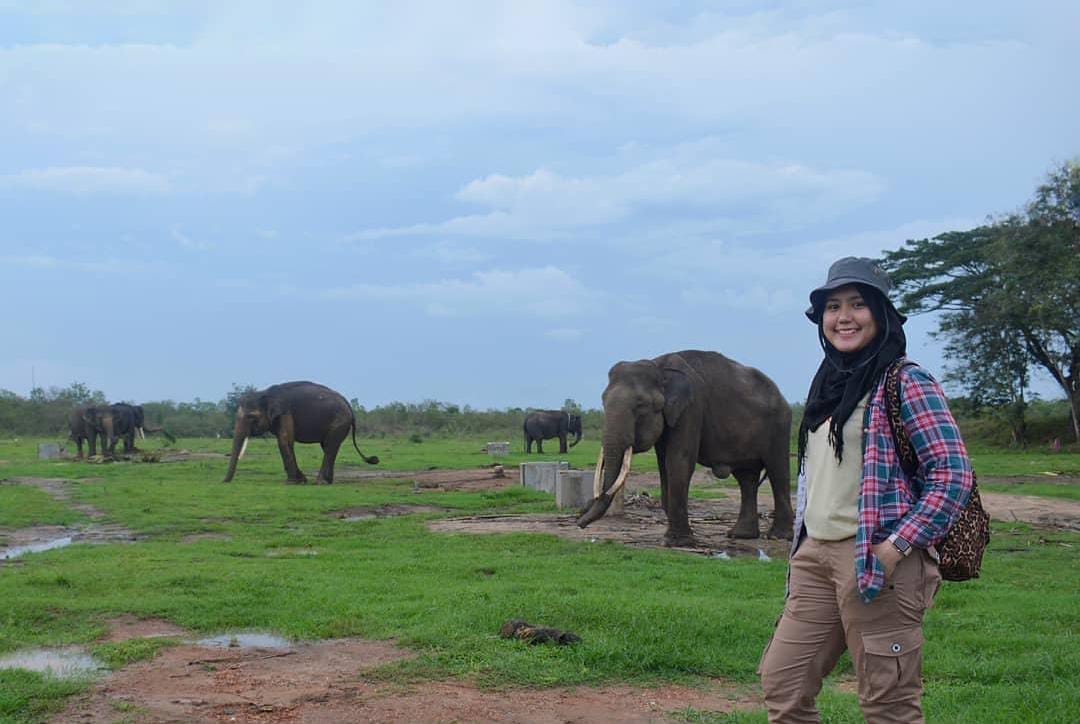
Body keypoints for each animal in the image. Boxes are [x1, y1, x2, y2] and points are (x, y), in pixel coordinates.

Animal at [219, 380, 380, 488]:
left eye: (251, 417)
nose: (223, 482)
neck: (266, 393)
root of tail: (349, 406)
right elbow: (285, 441)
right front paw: (301, 480)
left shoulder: (285, 413)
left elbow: (284, 440)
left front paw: (292, 482)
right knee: (329, 447)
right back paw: (327, 481)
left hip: (340, 421)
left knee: (329, 447)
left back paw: (320, 482)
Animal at [578, 350, 799, 544]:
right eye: (603, 401)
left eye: (640, 405)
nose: (580, 523)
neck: (659, 366)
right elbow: (664, 466)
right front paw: (677, 538)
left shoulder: (691, 408)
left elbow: (678, 460)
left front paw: (675, 542)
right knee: (747, 478)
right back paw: (740, 535)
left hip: (779, 426)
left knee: (777, 471)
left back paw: (778, 537)